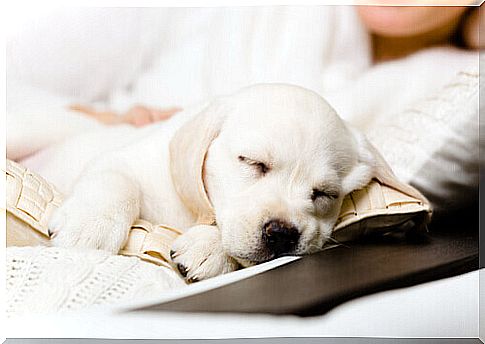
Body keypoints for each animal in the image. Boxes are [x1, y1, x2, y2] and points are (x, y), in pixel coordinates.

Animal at [23, 84, 382, 282]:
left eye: (324, 194)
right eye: (252, 162)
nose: (282, 233)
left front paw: (211, 248)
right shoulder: (124, 159)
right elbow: (116, 181)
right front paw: (90, 226)